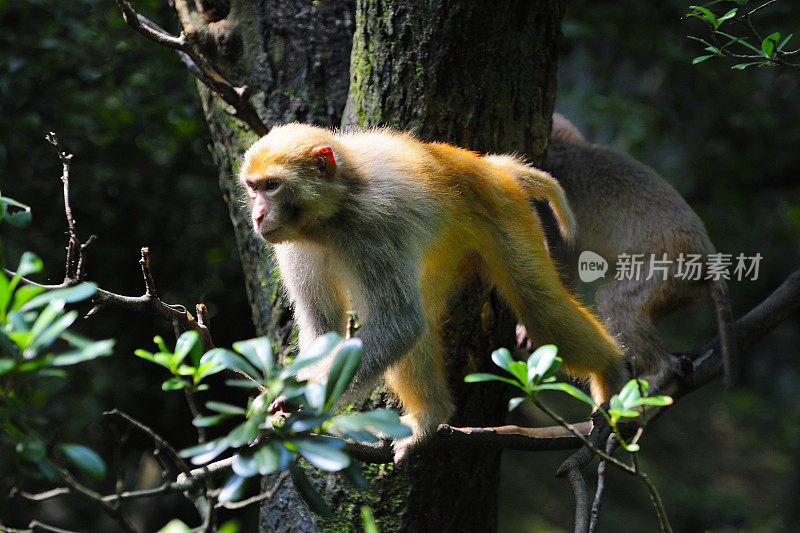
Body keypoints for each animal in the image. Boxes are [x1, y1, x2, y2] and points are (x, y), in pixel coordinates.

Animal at [241, 122, 628, 460]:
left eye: (272, 186)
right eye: (252, 187)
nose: (258, 216)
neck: (333, 210)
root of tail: (489, 165)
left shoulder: (374, 227)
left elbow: (399, 323)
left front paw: (302, 399)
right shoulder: (294, 246)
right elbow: (326, 327)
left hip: (506, 212)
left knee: (538, 307)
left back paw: (611, 371)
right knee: (423, 316)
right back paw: (432, 414)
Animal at [524, 112, 736, 386]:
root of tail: (705, 253)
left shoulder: (550, 203)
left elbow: (561, 260)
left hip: (670, 272)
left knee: (615, 298)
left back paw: (659, 371)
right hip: (684, 289)